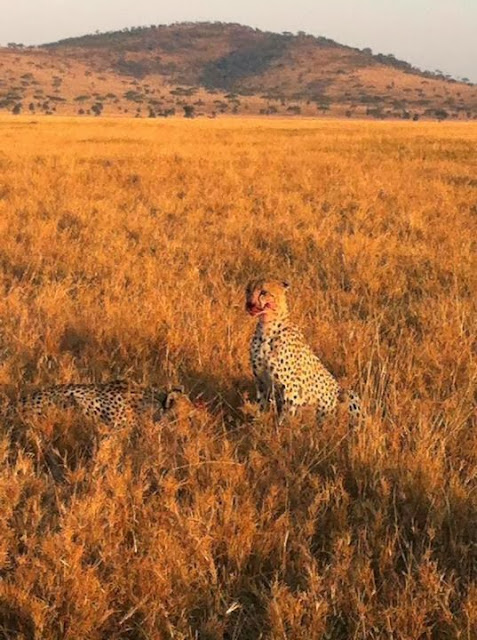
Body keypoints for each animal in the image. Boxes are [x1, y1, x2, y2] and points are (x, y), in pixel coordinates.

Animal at [247, 278, 358, 420]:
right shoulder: (261, 382)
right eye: (248, 290)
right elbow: (262, 409)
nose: (249, 304)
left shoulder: (291, 388)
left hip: (348, 394)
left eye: (263, 292)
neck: (266, 329)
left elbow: (286, 417)